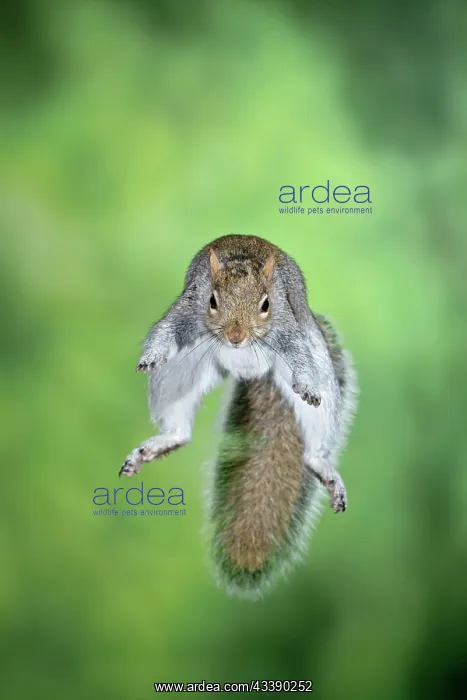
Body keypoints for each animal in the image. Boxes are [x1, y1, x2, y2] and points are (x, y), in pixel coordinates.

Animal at [120, 234, 358, 598]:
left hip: (320, 377)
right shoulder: (187, 309)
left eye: (266, 305)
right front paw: (151, 356)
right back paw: (162, 441)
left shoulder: (289, 327)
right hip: (180, 371)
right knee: (179, 428)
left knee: (317, 427)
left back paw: (322, 465)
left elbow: (300, 356)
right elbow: (165, 330)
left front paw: (306, 385)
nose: (235, 336)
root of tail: (248, 371)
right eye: (213, 301)